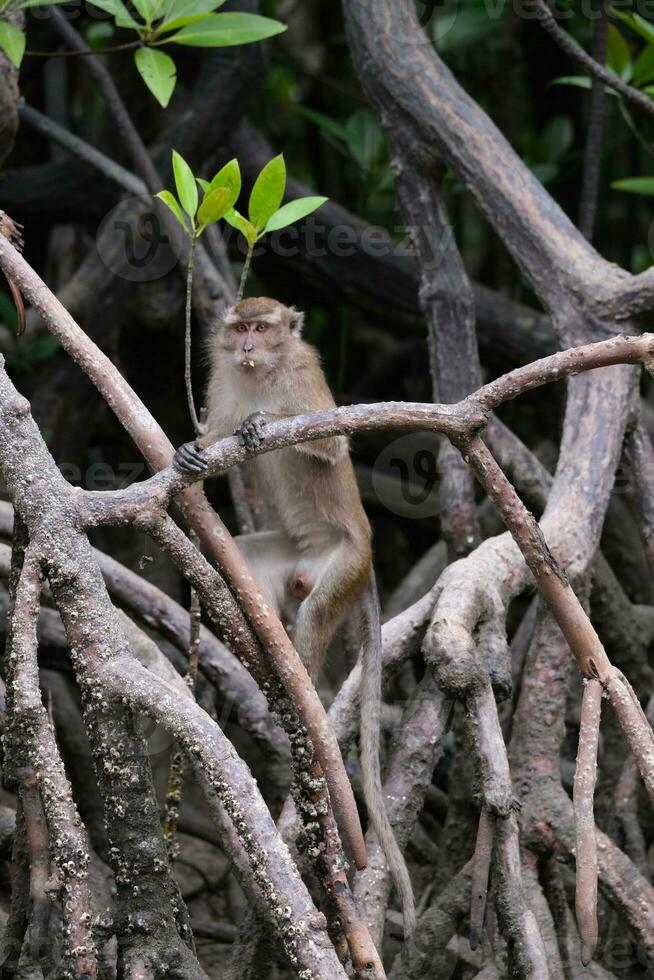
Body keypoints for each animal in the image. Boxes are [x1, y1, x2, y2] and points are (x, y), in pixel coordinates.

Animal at [176, 296, 416, 936]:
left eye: (263, 329)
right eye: (241, 329)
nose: (247, 347)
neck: (262, 374)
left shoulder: (304, 373)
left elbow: (328, 444)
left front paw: (260, 421)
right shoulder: (224, 377)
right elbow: (209, 442)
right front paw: (192, 448)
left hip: (345, 566)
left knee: (312, 618)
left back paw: (296, 691)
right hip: (286, 556)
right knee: (250, 568)